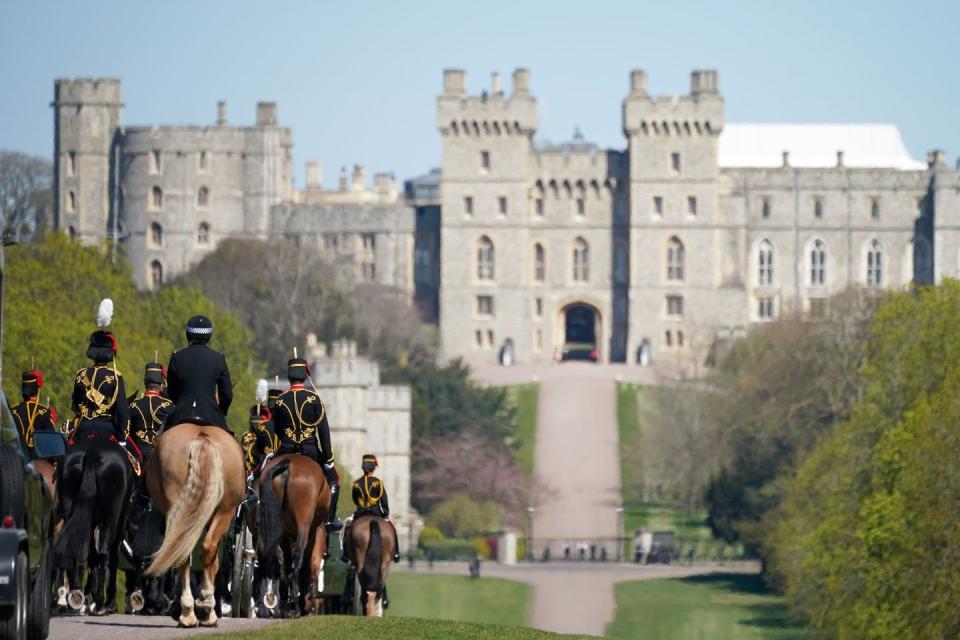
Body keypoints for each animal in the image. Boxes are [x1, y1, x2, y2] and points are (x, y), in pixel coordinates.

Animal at [53, 436, 135, 616]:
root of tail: (91, 453)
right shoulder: (118, 522)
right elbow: (111, 558)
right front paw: (109, 601)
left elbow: (91, 558)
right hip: (112, 517)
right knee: (105, 554)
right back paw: (99, 603)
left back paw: (77, 598)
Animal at [145, 422, 246, 628]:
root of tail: (202, 438)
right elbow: (212, 563)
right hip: (224, 511)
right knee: (202, 551)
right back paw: (202, 606)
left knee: (185, 554)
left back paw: (189, 612)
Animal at [256, 452, 332, 616]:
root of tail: (288, 463)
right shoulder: (313, 532)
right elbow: (308, 566)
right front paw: (306, 604)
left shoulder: (285, 535)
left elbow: (285, 561)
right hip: (304, 526)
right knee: (298, 559)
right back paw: (297, 606)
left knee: (280, 562)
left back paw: (285, 604)